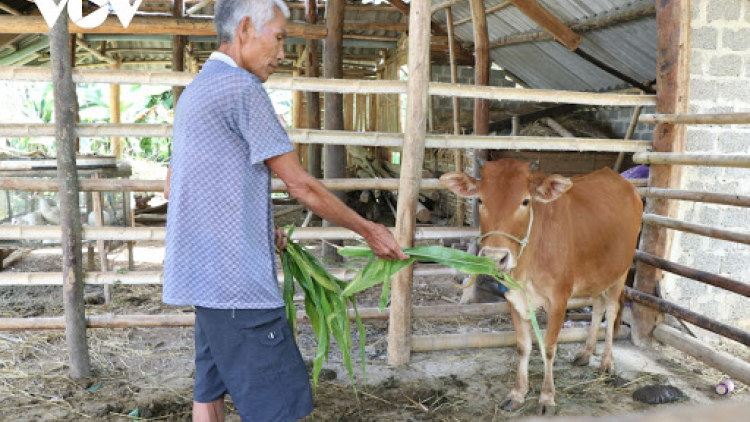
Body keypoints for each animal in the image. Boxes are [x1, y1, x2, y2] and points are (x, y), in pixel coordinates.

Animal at [440, 160, 648, 414]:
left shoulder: (559, 299)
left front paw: (547, 397)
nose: (496, 258)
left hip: (621, 272)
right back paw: (586, 353)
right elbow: (523, 346)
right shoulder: (514, 298)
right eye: (480, 199)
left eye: (525, 201)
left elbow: (548, 347)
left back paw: (607, 362)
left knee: (610, 311)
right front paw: (517, 393)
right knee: (597, 307)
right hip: (598, 276)